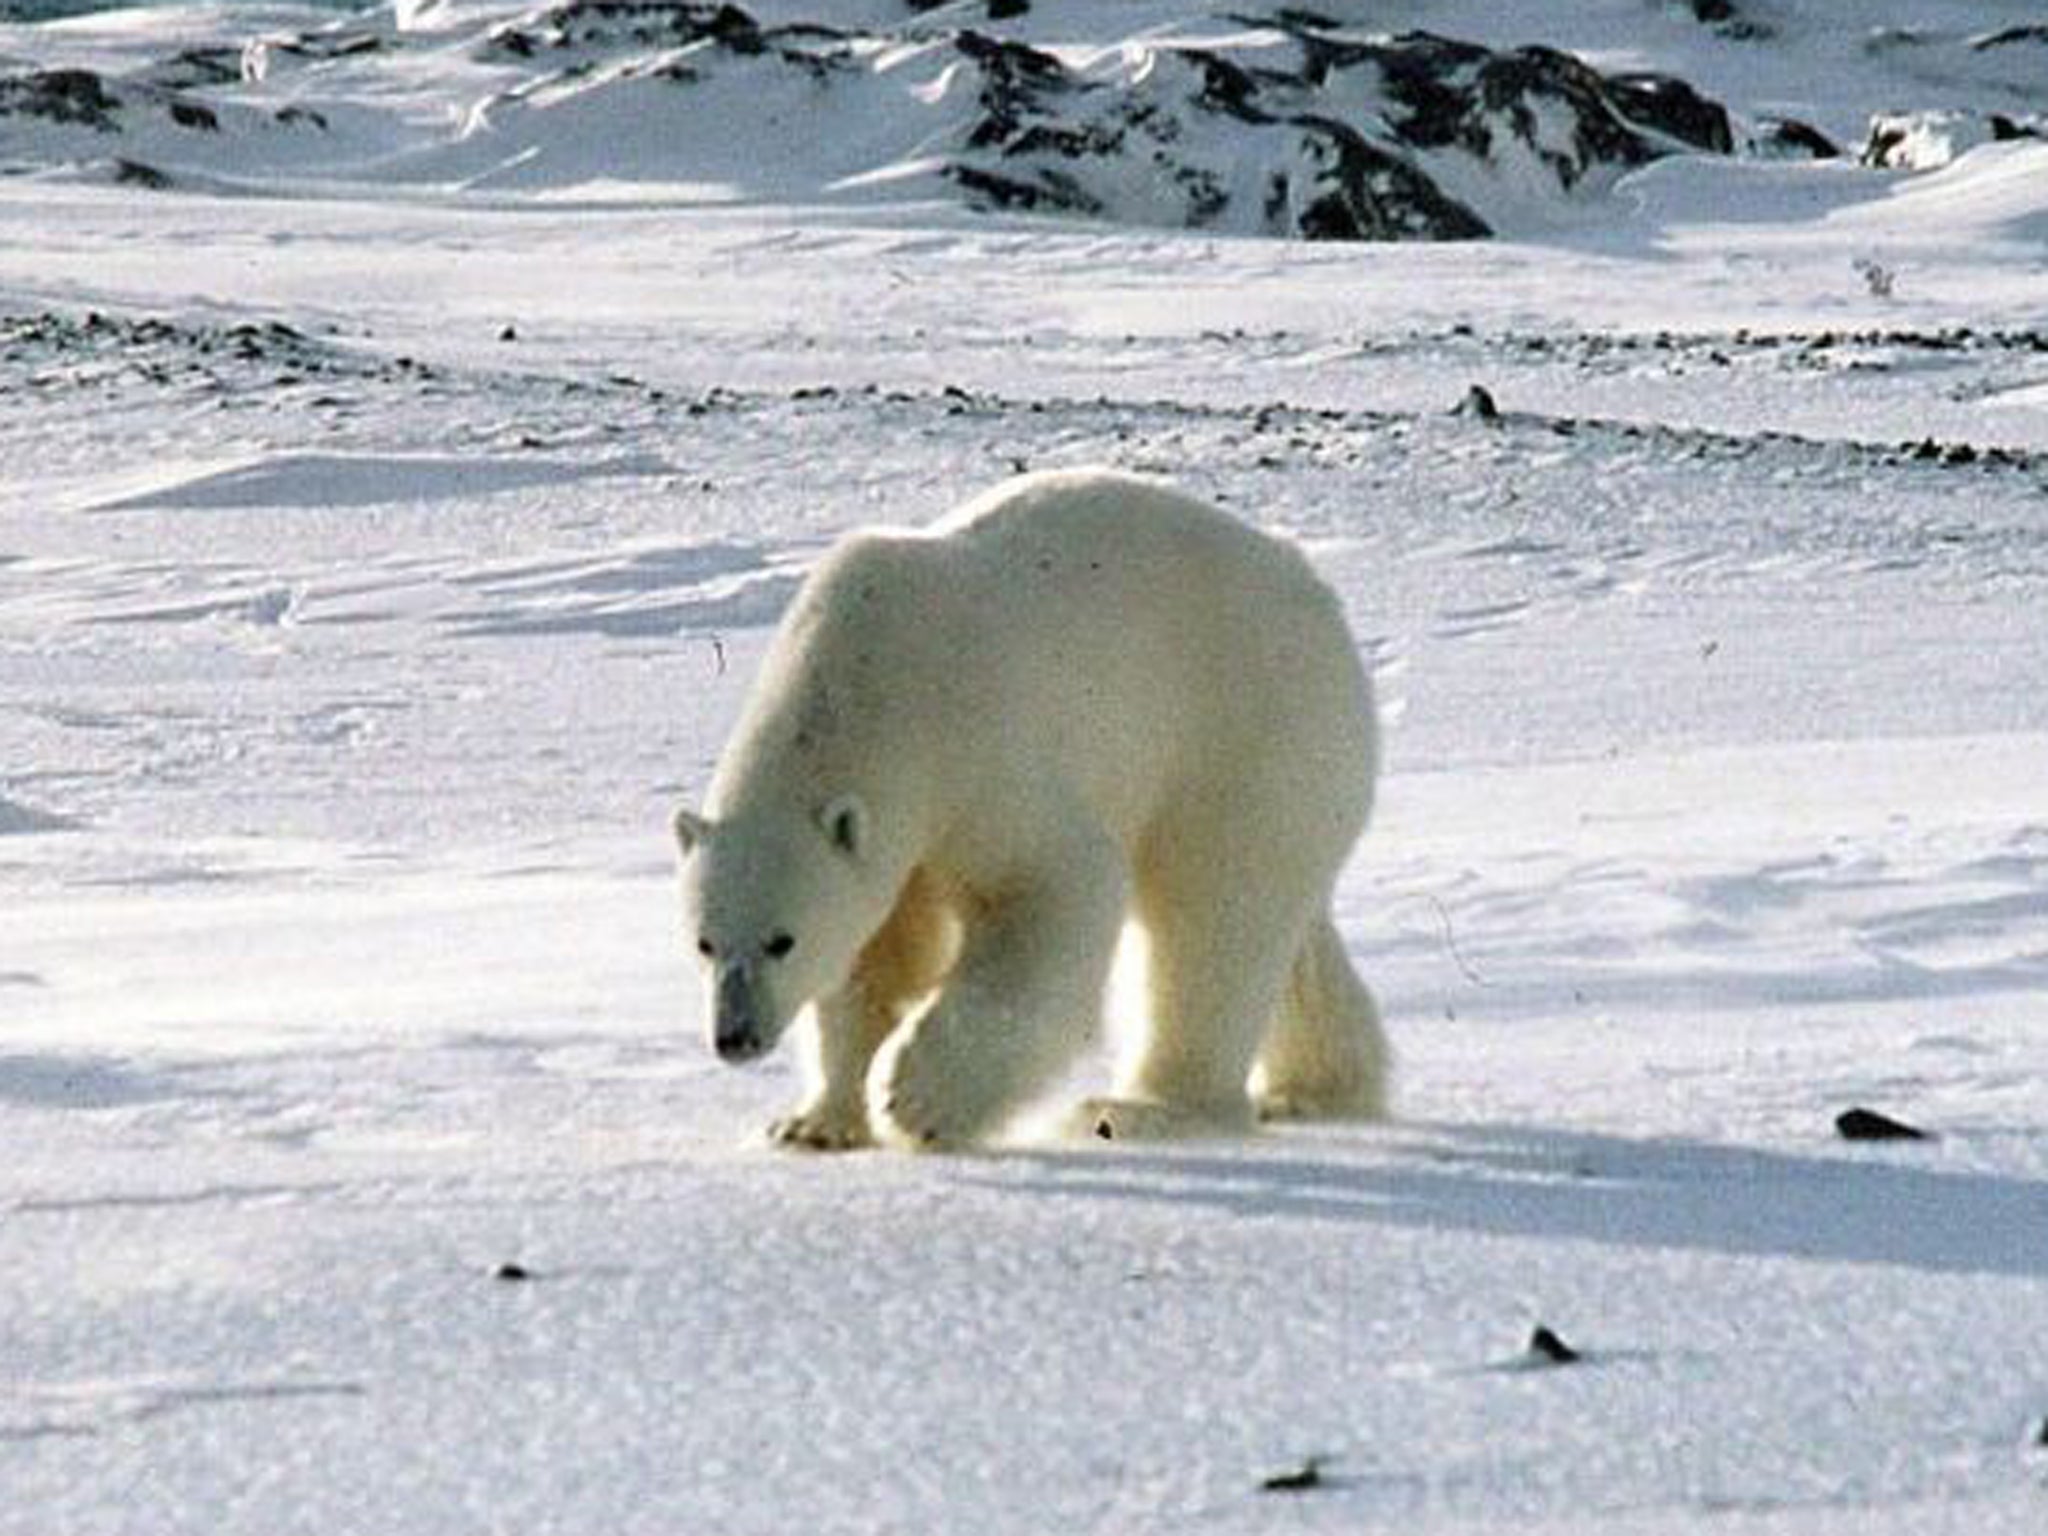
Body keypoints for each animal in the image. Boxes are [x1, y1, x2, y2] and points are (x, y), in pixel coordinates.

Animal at [679, 468, 1384, 1155]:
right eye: (704, 941)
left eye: (782, 941)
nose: (735, 1037)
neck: (871, 679)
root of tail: (1321, 598)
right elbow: (876, 956)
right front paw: (814, 1123)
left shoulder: (981, 754)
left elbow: (1053, 893)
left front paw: (916, 1095)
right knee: (1289, 925)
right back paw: (1318, 1088)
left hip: (1242, 727)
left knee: (1212, 914)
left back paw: (1140, 1107)